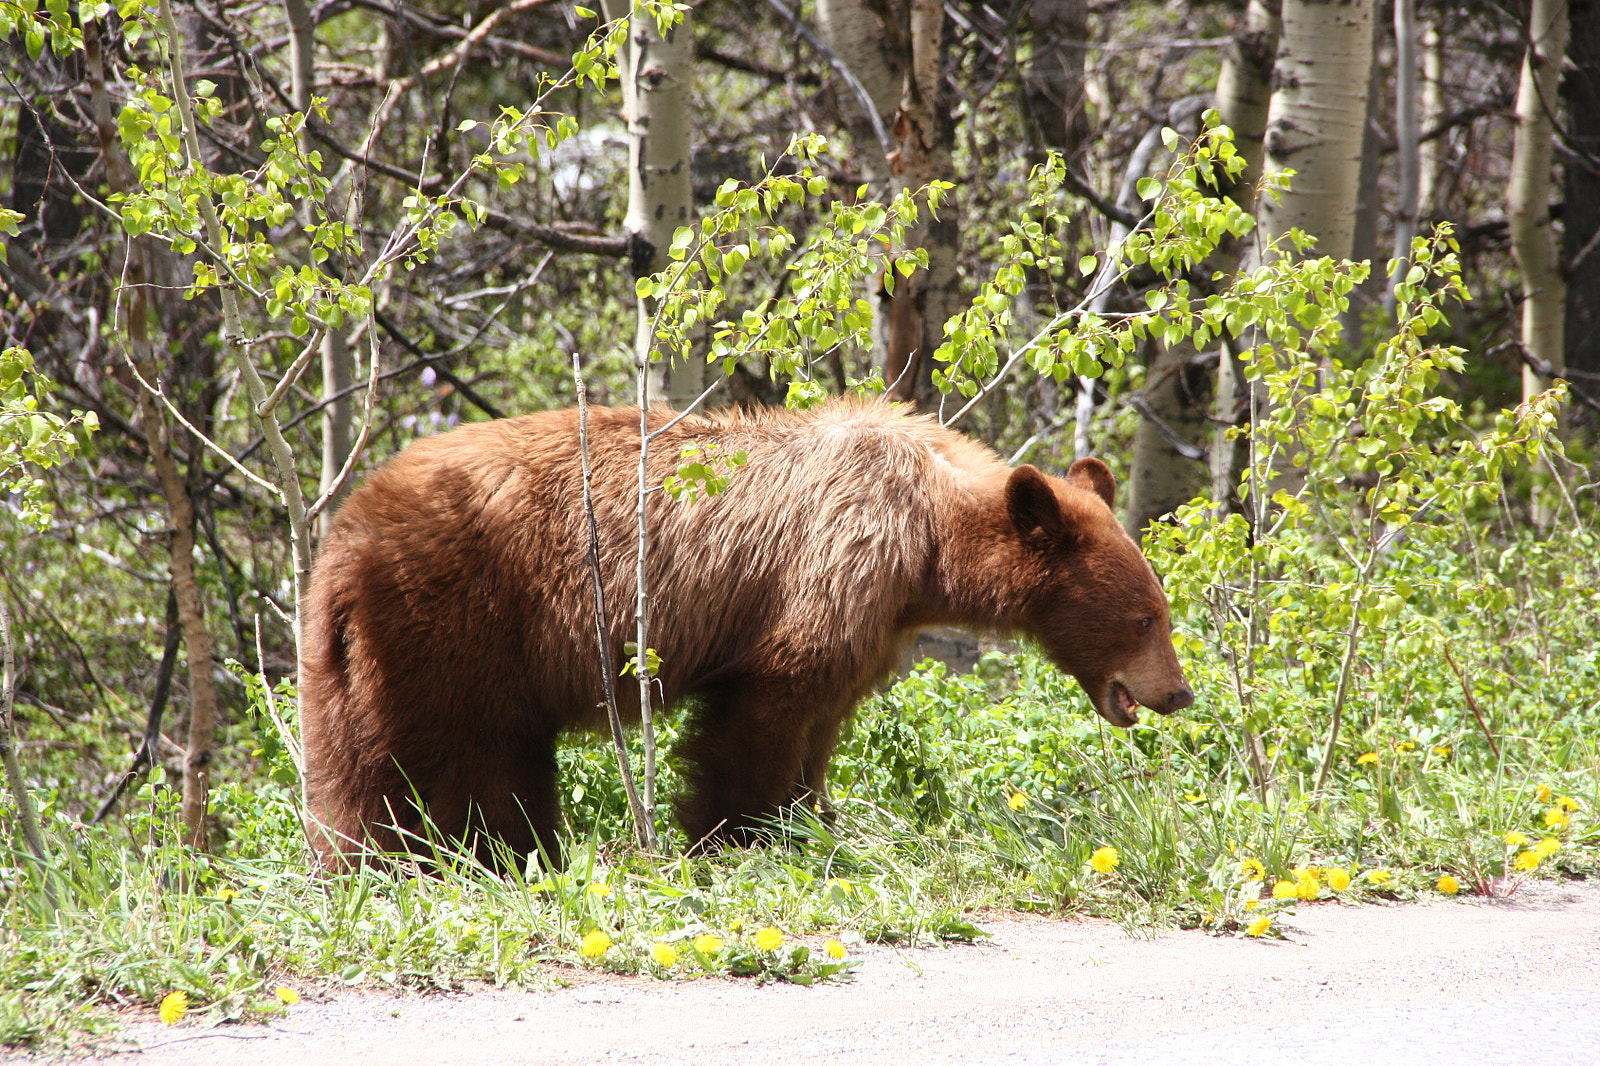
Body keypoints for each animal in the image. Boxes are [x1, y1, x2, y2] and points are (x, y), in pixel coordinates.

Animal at [299, 399, 1193, 869]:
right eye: (1147, 616)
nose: (1178, 692)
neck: (929, 535)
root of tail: (347, 539)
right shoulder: (830, 564)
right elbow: (766, 706)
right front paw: (738, 832)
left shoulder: (875, 614)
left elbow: (824, 720)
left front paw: (810, 814)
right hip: (461, 628)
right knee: (472, 764)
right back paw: (486, 854)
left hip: (357, 660)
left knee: (355, 765)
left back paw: (355, 858)